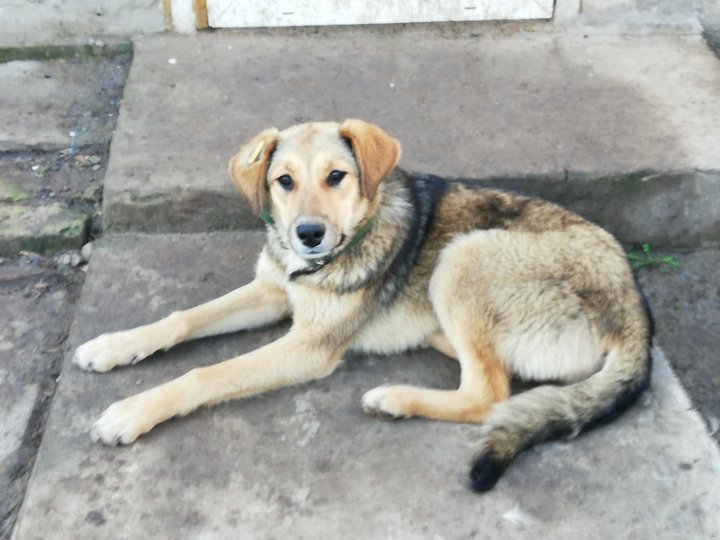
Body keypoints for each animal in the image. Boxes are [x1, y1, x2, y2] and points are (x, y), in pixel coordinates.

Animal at [73, 119, 652, 491]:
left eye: (337, 176)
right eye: (284, 182)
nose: (308, 235)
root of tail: (638, 316)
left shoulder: (308, 346)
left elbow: (205, 374)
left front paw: (132, 411)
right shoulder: (272, 291)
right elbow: (183, 318)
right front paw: (114, 346)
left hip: (463, 257)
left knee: (488, 394)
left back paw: (395, 398)